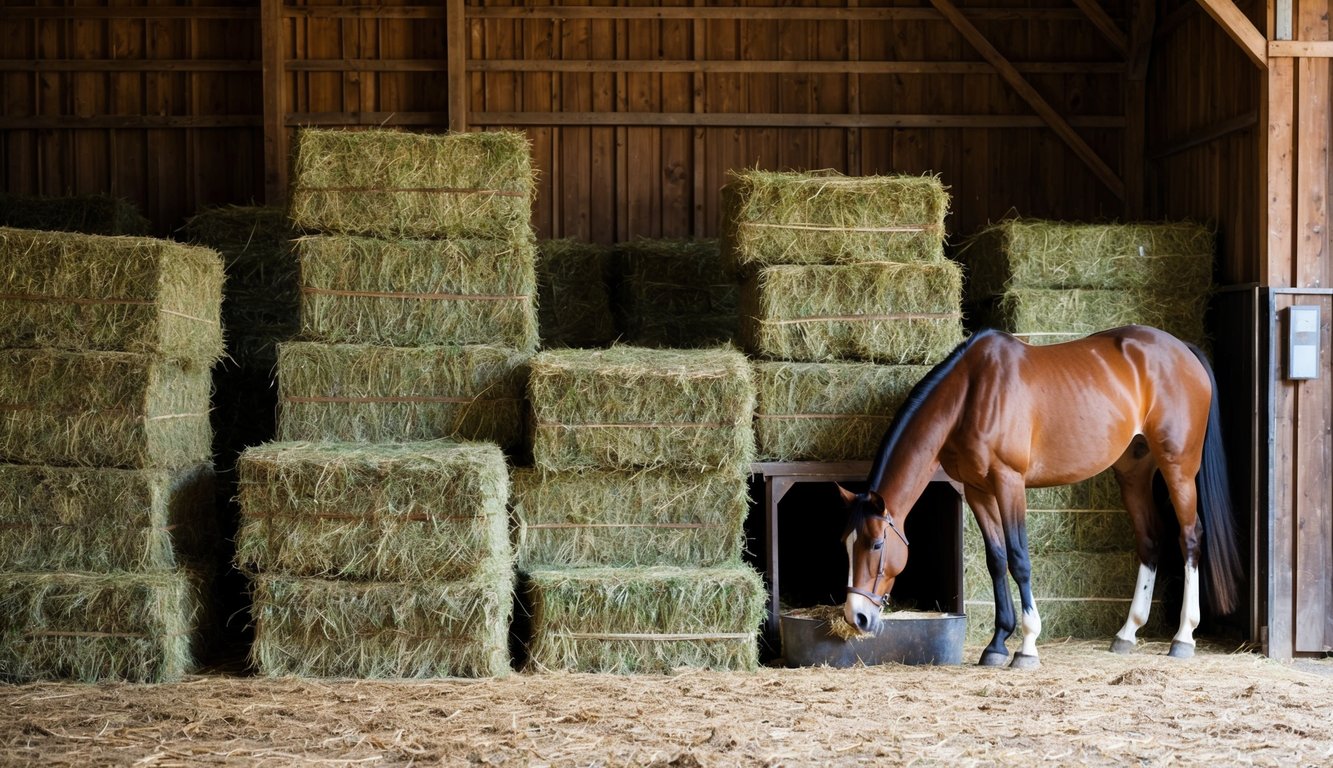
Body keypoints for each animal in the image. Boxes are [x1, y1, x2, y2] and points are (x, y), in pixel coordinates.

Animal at [837, 324, 1242, 666]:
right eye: (846, 543)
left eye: (876, 544)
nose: (857, 615)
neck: (971, 393)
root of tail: (1183, 349)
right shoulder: (978, 490)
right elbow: (997, 560)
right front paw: (997, 645)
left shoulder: (1009, 482)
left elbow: (1019, 559)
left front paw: (1027, 645)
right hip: (1134, 471)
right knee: (1150, 541)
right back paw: (1127, 633)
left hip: (1179, 468)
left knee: (1190, 538)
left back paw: (1183, 637)